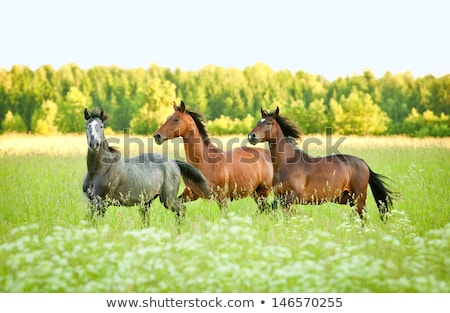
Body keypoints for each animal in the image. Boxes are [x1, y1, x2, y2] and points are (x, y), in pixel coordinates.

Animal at [82, 107, 211, 222]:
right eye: (87, 126)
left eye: (101, 126)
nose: (94, 144)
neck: (100, 170)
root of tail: (174, 162)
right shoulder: (91, 202)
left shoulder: (102, 202)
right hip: (147, 202)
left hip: (168, 199)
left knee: (182, 210)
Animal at [246, 107, 398, 222]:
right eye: (258, 122)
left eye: (269, 123)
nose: (251, 136)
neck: (287, 163)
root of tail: (362, 162)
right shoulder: (280, 197)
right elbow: (266, 208)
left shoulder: (291, 198)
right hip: (346, 198)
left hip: (359, 197)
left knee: (363, 217)